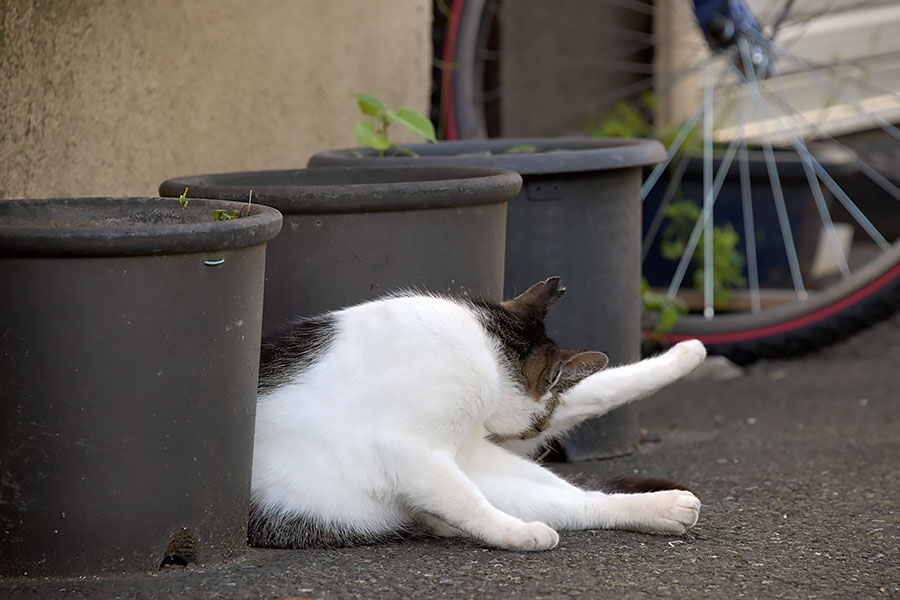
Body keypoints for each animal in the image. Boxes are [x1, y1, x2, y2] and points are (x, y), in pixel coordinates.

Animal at [250, 278, 708, 552]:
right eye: (544, 413)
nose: (540, 425)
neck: (485, 348)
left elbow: (598, 392)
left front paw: (687, 354)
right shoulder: (408, 451)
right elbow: (468, 502)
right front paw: (514, 533)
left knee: (580, 501)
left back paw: (666, 508)